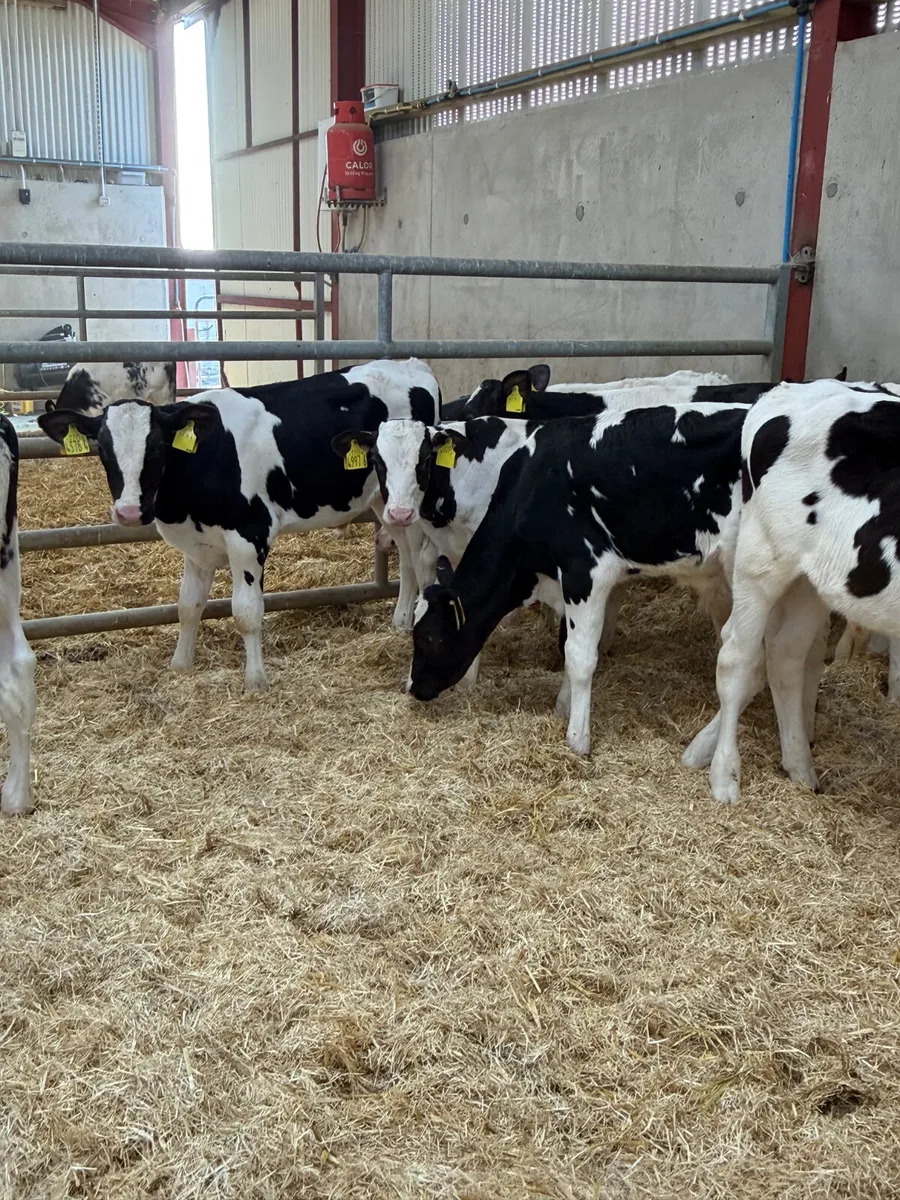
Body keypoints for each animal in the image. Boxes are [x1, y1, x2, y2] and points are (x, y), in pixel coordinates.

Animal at [407, 401, 752, 754]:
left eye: (427, 637)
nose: (413, 687)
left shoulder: (586, 572)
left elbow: (580, 655)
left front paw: (577, 737)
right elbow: (565, 643)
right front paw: (564, 705)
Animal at [683, 380, 900, 804]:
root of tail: (793, 388)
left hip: (813, 579)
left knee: (784, 654)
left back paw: (801, 770)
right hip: (762, 560)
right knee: (737, 656)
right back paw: (724, 776)